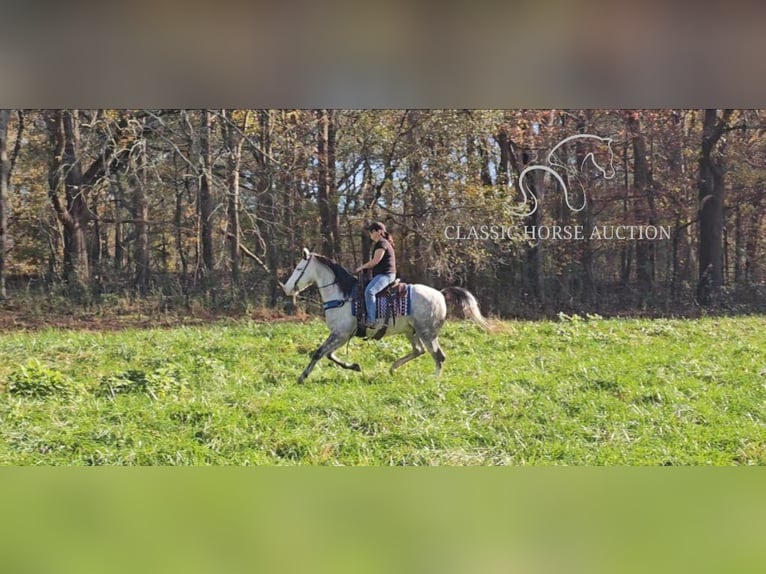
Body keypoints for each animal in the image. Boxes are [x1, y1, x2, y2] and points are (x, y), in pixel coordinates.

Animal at [284, 249, 492, 388]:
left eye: (299, 268)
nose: (286, 288)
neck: (343, 296)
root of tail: (440, 294)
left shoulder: (341, 333)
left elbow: (319, 353)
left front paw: (302, 377)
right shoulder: (342, 334)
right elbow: (329, 354)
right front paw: (355, 366)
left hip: (427, 333)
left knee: (438, 356)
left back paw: (433, 381)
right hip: (411, 332)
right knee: (419, 351)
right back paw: (393, 368)